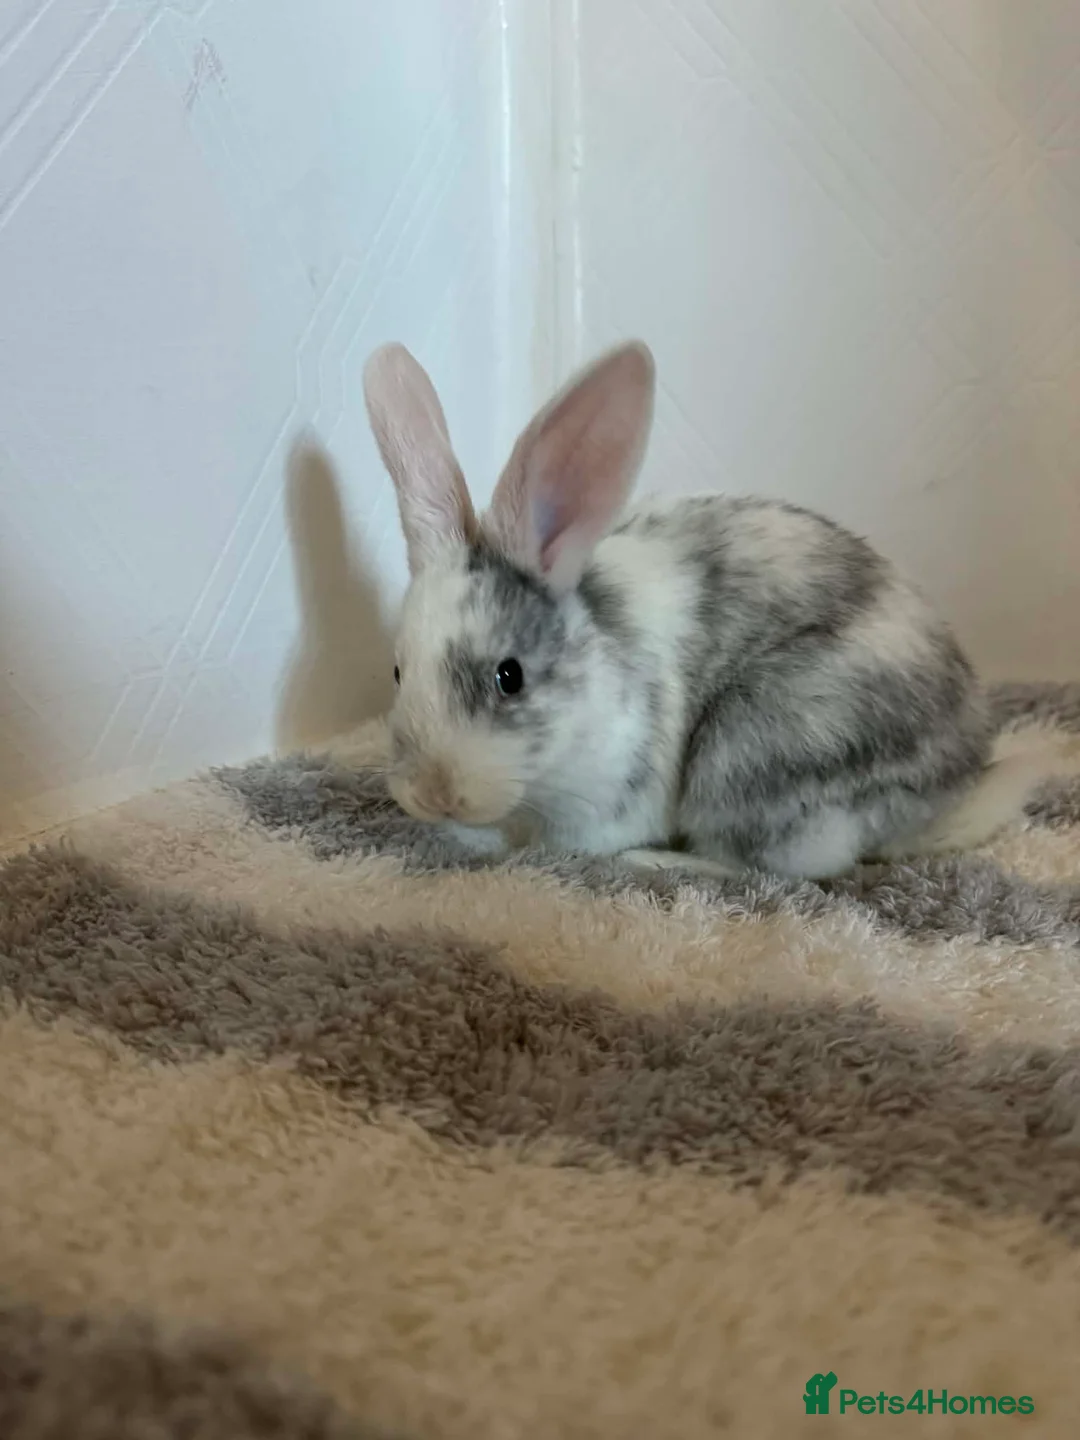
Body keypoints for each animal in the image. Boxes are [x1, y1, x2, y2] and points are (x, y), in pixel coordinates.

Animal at [361, 338, 1057, 882]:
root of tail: (950, 785)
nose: (433, 793)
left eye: (510, 676)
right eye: (395, 672)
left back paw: (662, 861)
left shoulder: (602, 806)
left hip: (751, 753)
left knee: (779, 867)